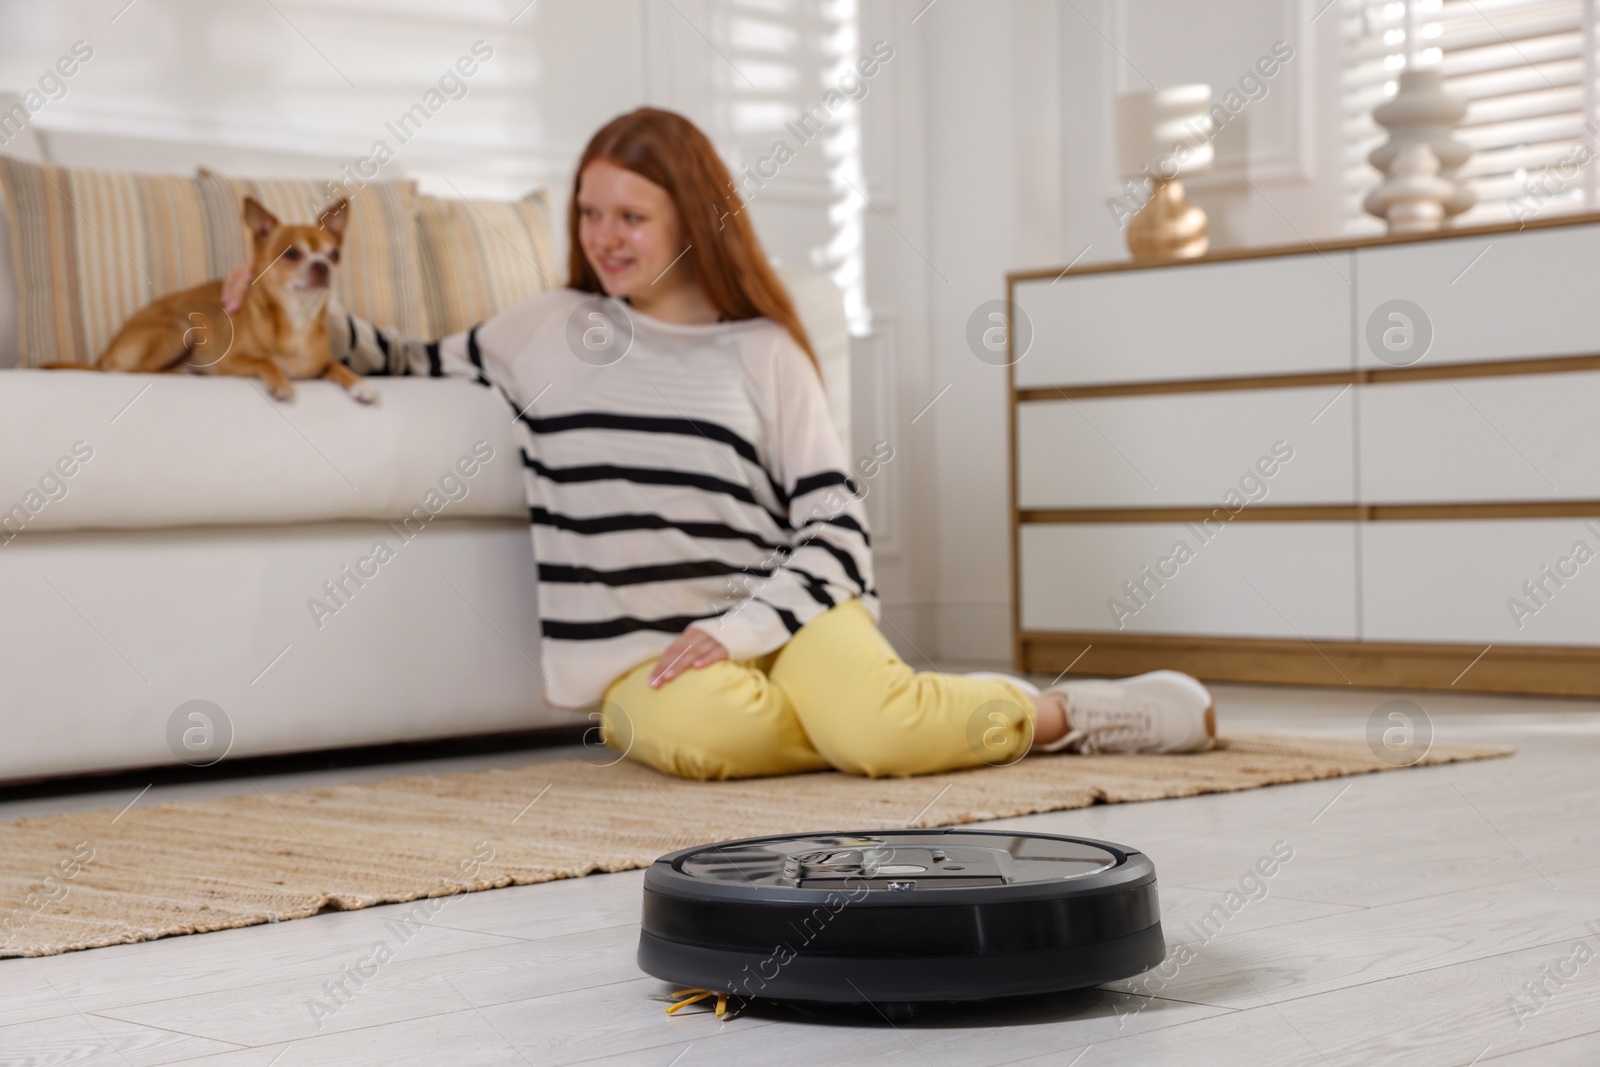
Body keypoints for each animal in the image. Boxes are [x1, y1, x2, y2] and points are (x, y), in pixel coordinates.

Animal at [82, 198, 374, 403]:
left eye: (334, 255)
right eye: (291, 254)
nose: (323, 266)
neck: (298, 320)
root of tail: (104, 353)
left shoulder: (318, 366)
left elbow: (336, 365)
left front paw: (360, 384)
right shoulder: (230, 362)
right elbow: (263, 361)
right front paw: (280, 382)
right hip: (182, 327)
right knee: (134, 371)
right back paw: (181, 372)